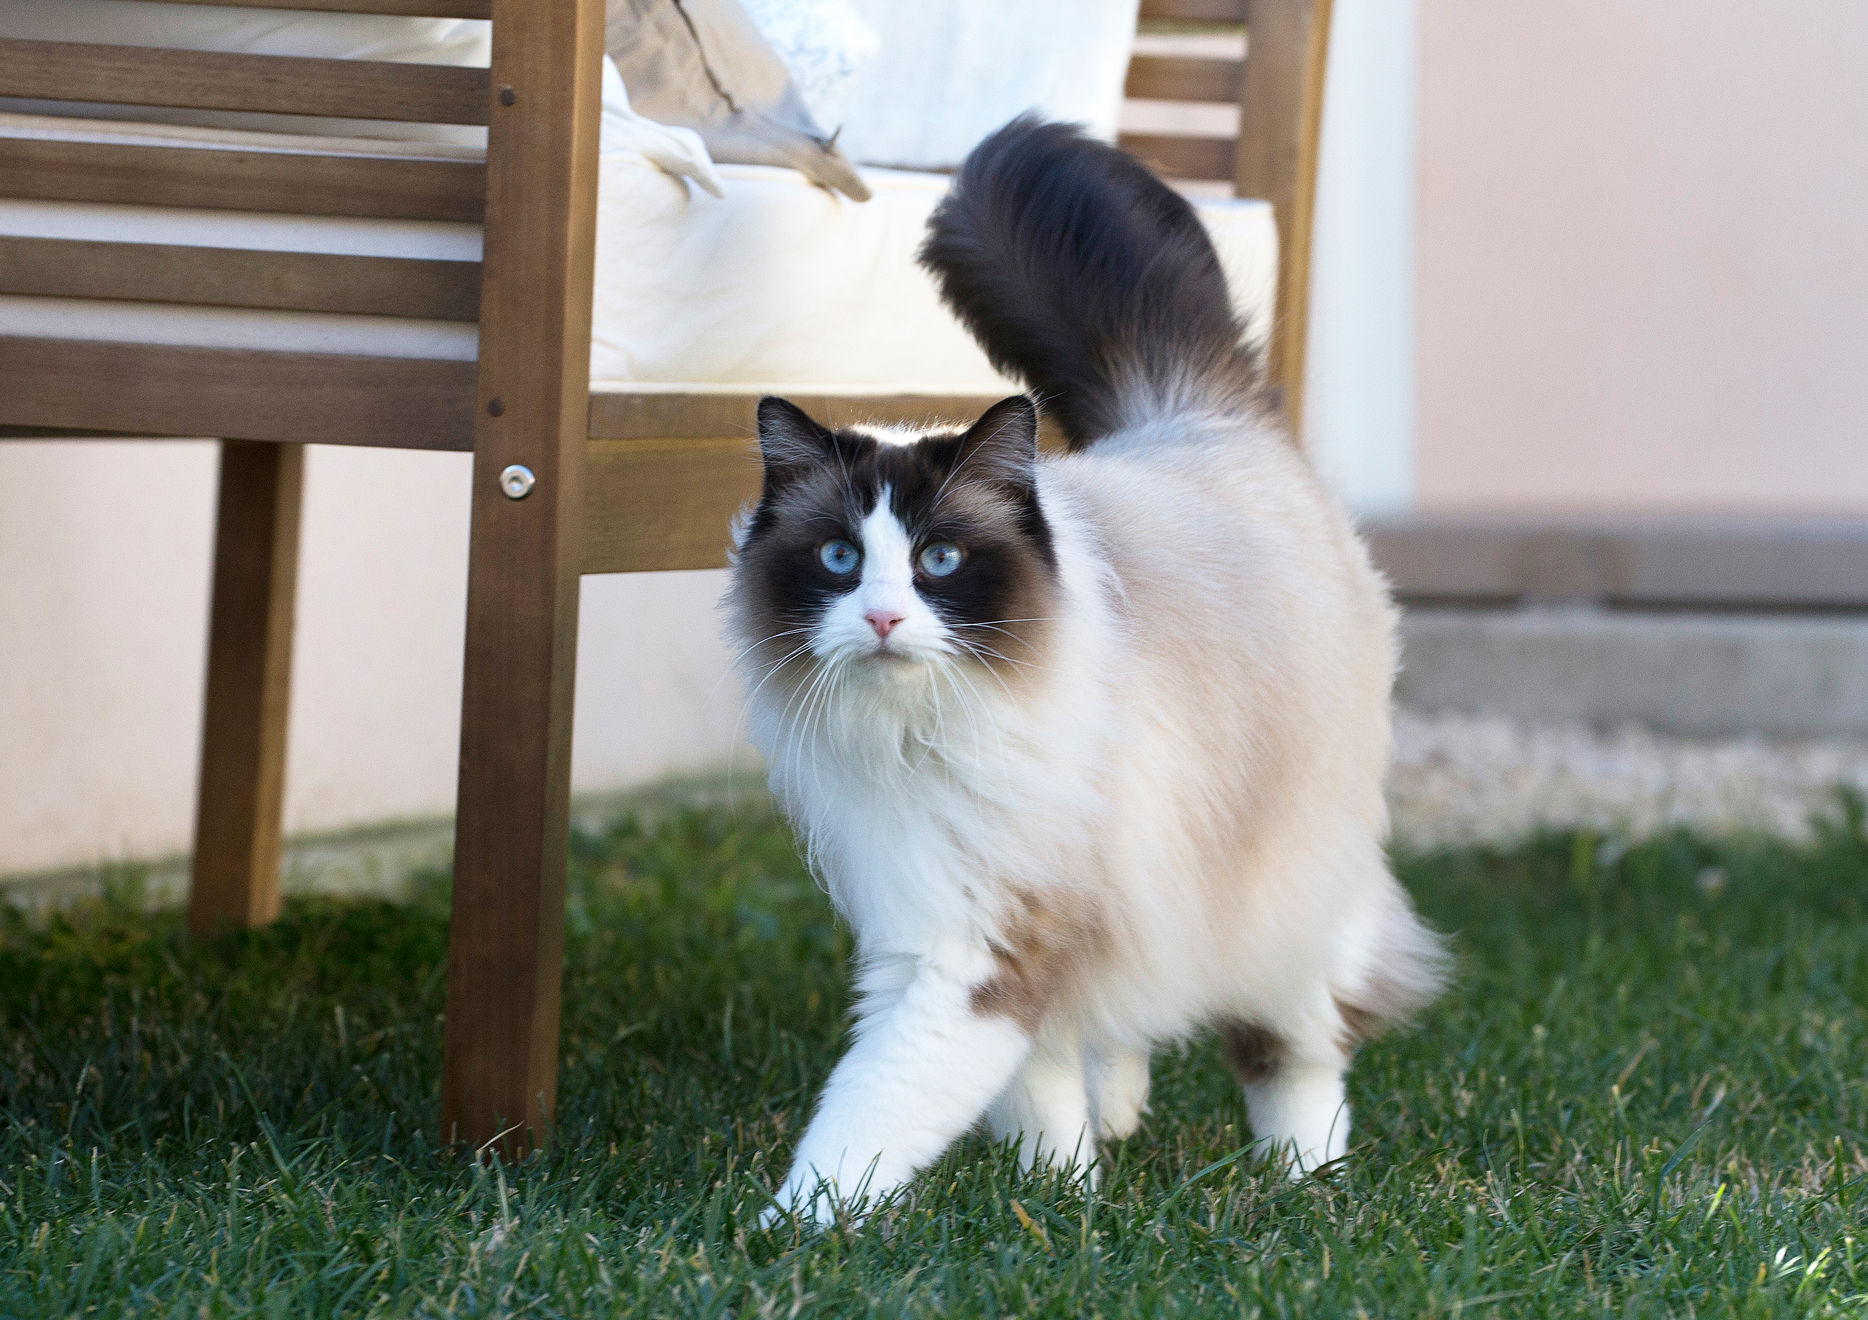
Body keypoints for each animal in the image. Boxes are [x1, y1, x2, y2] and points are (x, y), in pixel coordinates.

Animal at [724, 118, 1442, 1224]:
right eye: (839, 559)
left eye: (939, 563)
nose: (883, 617)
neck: (920, 738)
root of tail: (1198, 416)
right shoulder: (945, 915)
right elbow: (1036, 1092)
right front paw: (1060, 1202)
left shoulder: (981, 947)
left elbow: (866, 1116)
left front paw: (781, 1233)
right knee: (1124, 1024)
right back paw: (1124, 1117)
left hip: (1272, 887)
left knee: (1298, 1044)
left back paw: (1306, 1178)